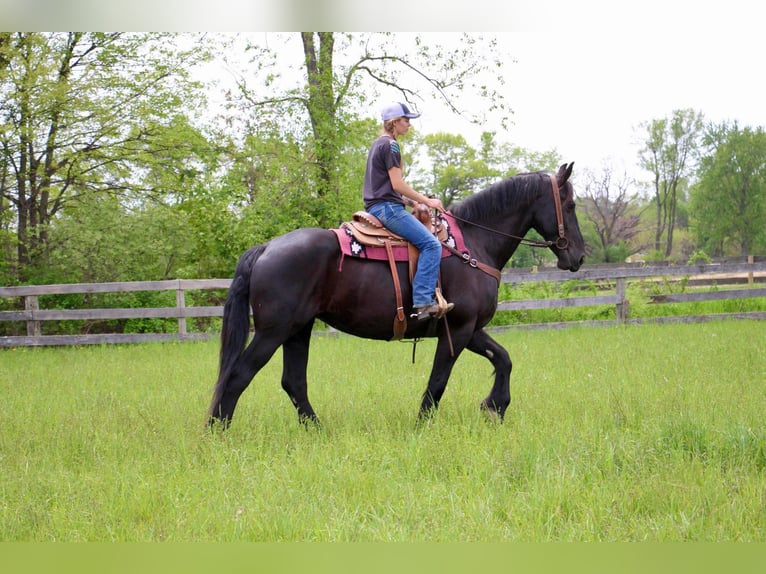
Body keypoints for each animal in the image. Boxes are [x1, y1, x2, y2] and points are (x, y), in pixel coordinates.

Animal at [207, 162, 584, 428]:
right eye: (570, 205)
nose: (578, 256)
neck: (475, 244)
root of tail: (267, 247)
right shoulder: (458, 330)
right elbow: (438, 382)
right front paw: (423, 425)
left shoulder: (470, 328)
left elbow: (503, 358)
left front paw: (494, 407)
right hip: (274, 331)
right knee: (238, 376)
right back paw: (217, 434)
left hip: (298, 329)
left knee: (293, 382)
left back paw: (317, 430)